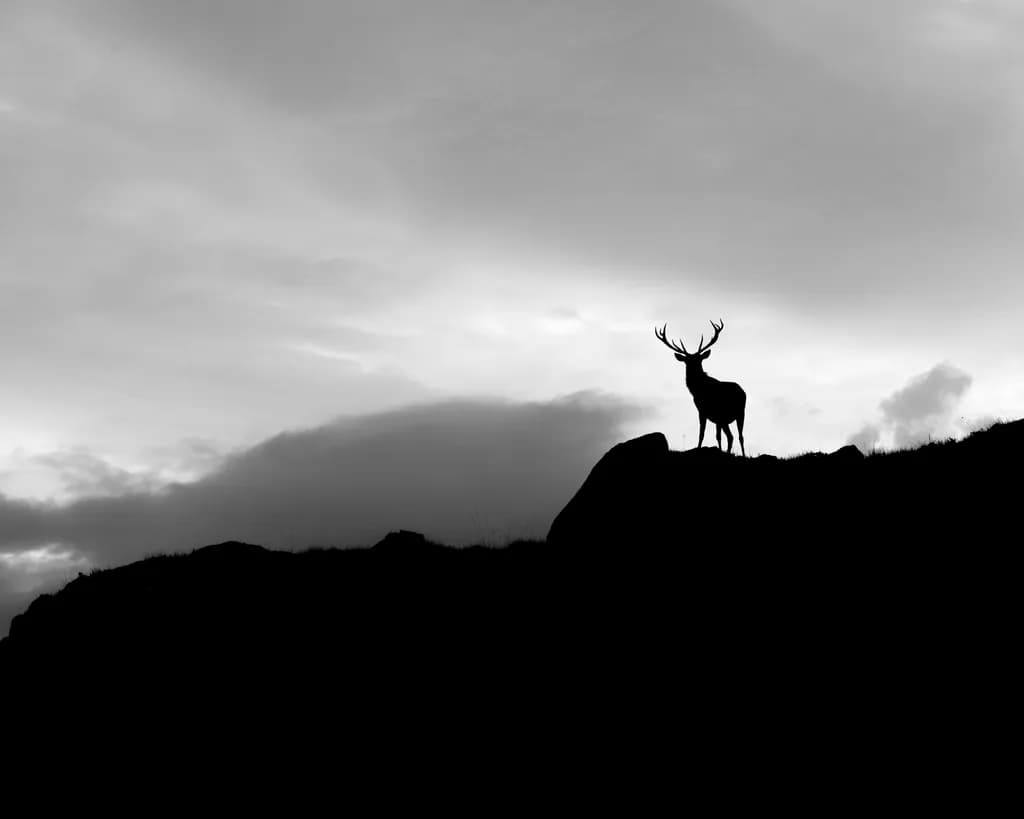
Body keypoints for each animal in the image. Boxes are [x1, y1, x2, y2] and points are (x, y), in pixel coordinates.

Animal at [655, 319, 746, 456]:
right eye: (687, 361)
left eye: (699, 359)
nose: (693, 368)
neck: (698, 390)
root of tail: (742, 392)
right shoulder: (714, 416)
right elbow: (717, 436)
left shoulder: (703, 410)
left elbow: (701, 434)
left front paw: (698, 448)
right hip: (730, 417)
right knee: (733, 436)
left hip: (739, 413)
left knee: (737, 436)